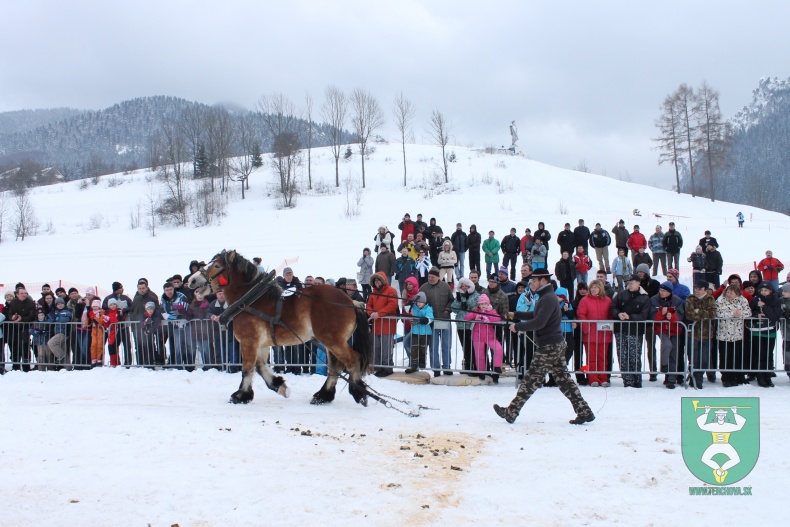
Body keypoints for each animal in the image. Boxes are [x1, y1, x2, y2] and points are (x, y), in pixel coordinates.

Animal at [187, 250, 372, 406]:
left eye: (217, 266)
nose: (191, 280)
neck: (250, 300)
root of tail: (350, 301)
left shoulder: (248, 342)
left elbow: (247, 369)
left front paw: (240, 395)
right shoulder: (261, 344)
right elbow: (260, 367)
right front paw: (279, 386)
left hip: (333, 340)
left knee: (352, 360)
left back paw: (358, 393)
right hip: (331, 342)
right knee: (336, 366)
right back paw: (323, 396)